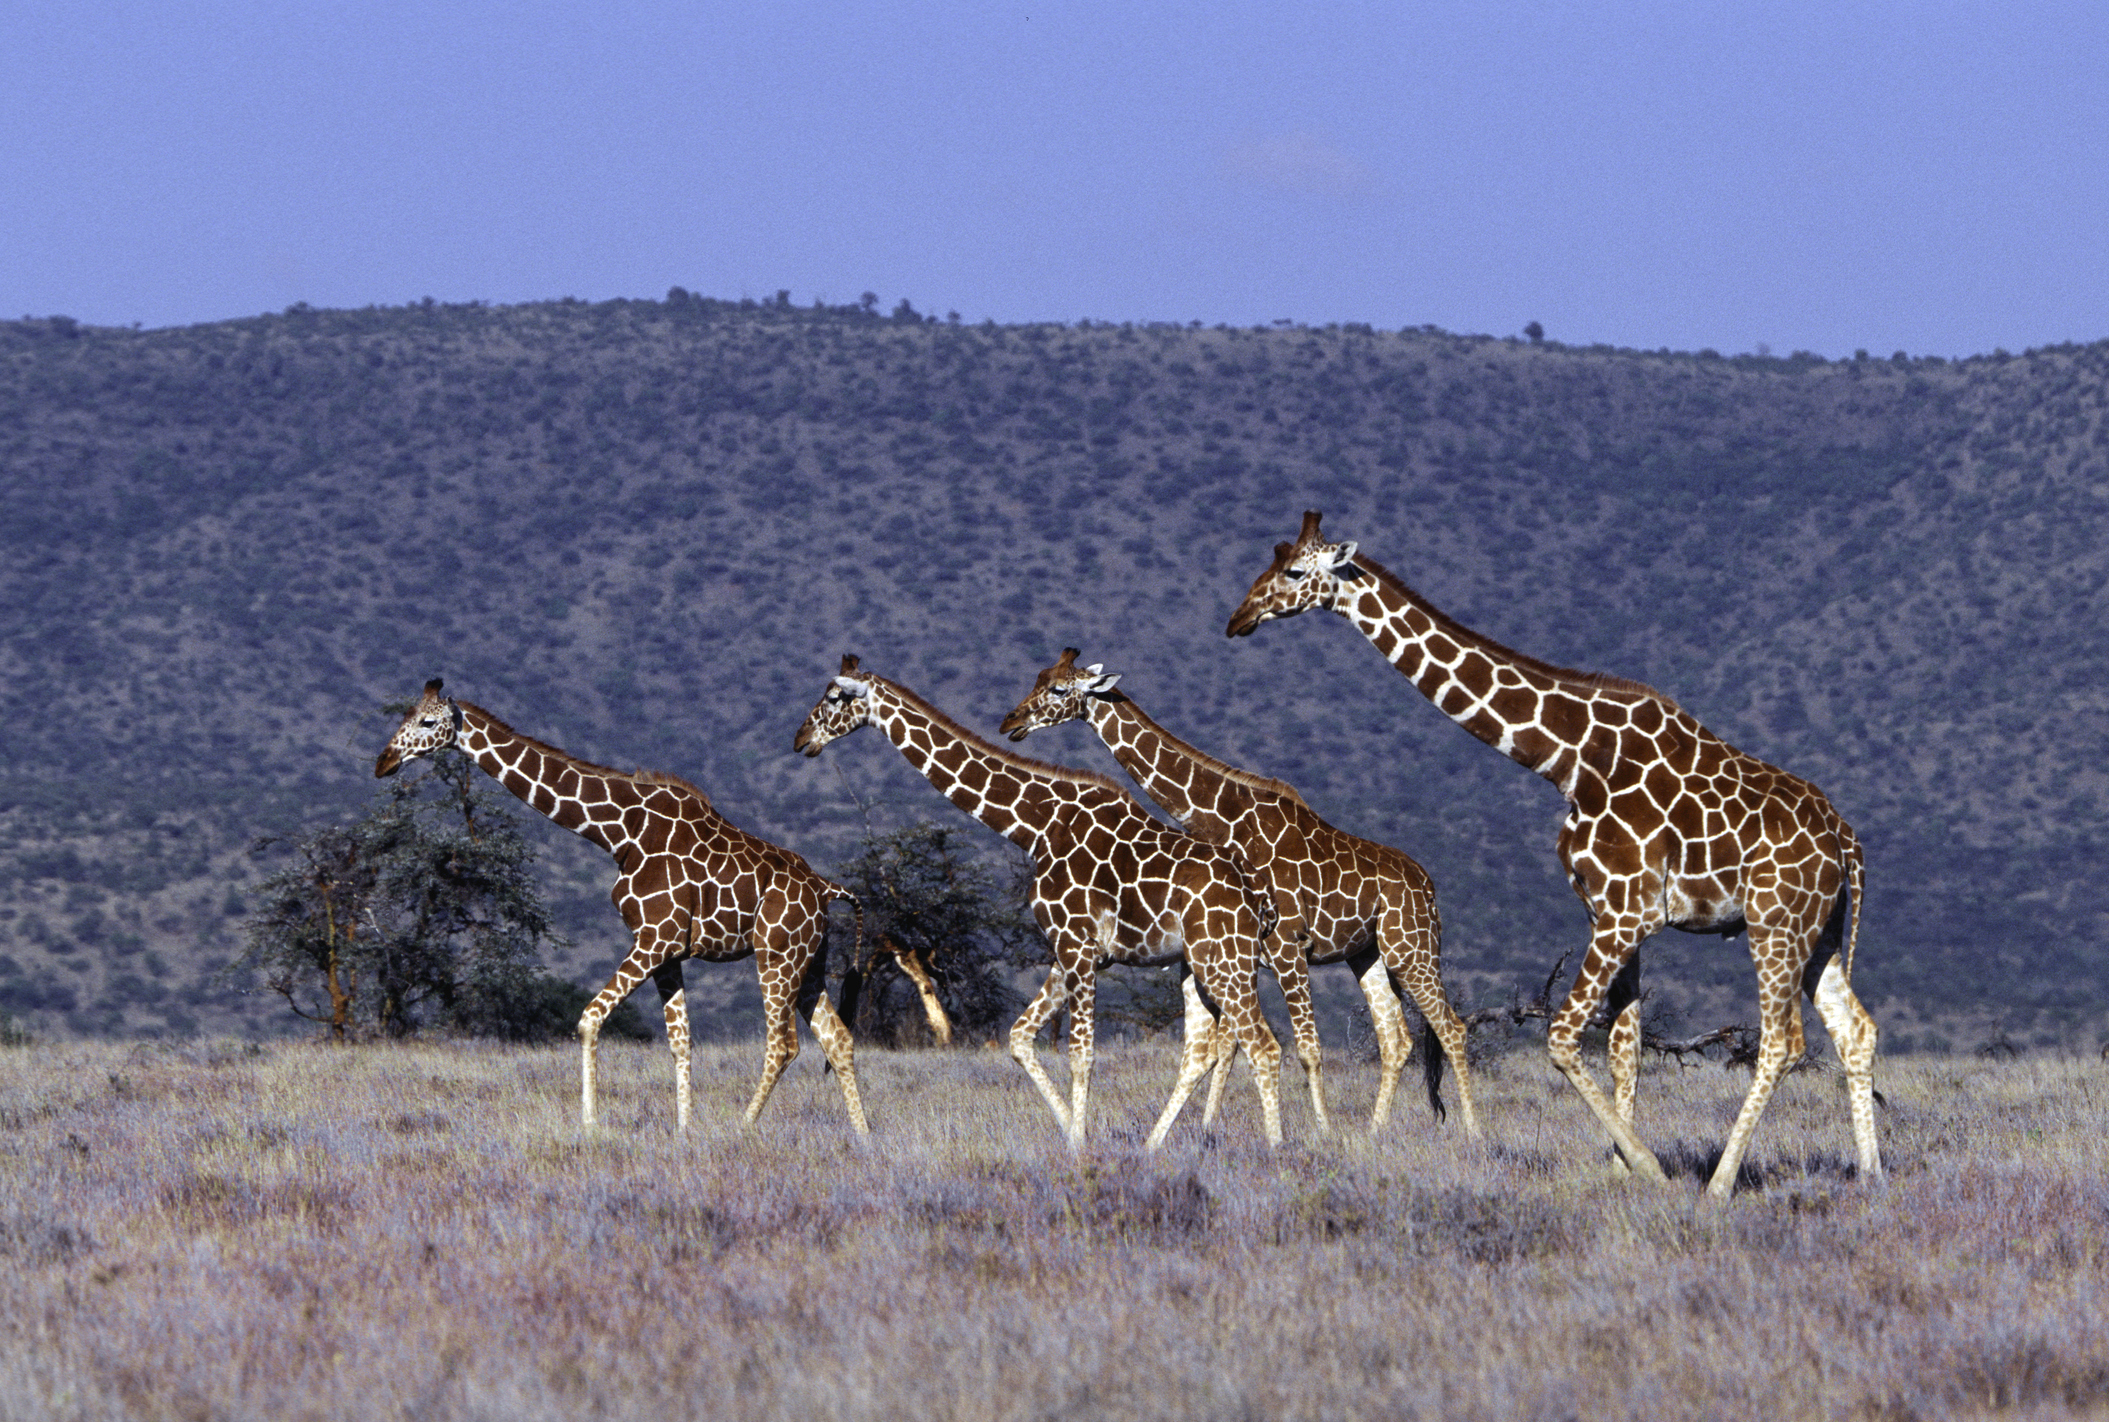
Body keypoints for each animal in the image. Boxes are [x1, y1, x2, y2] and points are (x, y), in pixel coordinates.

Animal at [376, 678, 894, 1134]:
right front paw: (683, 1131)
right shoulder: (668, 951)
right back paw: (863, 1135)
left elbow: (589, 1020)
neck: (617, 831)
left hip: (777, 955)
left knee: (783, 1045)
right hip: (809, 960)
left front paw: (589, 1125)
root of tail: (825, 887)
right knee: (838, 1039)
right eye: (404, 715)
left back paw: (744, 1128)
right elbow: (680, 1042)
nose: (384, 761)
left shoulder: (654, 938)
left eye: (426, 721)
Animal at [794, 656, 1284, 1148]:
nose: (801, 739)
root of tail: (1259, 893)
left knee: (1264, 1045)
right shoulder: (1068, 952)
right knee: (1203, 1050)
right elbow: (1019, 1037)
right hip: (1200, 962)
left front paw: (1078, 1146)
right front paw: (1073, 1131)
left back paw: (1277, 1147)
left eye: (834, 696)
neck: (1038, 829)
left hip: (1224, 959)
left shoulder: (1078, 946)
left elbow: (1081, 1053)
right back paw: (1151, 1148)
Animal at [998, 648, 1481, 1138]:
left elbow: (1303, 1048)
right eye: (1039, 679)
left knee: (1452, 1028)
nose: (1011, 721)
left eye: (1058, 688)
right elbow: (1229, 1048)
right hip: (1369, 954)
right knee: (1396, 1038)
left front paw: (1320, 1133)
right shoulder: (1243, 951)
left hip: (1411, 948)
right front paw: (1209, 1127)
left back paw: (1474, 1132)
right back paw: (1374, 1133)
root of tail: (1428, 886)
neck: (1224, 819)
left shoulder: (1286, 945)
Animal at [1227, 512, 1879, 1197]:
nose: (1238, 618)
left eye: (1294, 571)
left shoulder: (1626, 913)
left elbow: (1564, 1038)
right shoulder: (1612, 913)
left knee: (1782, 1042)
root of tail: (1846, 839)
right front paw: (1622, 1166)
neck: (1570, 761)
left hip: (1773, 922)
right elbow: (1623, 1049)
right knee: (1855, 1030)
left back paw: (1721, 1185)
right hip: (1820, 929)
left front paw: (1647, 1166)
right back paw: (1870, 1173)